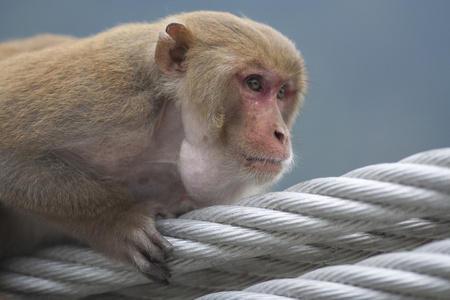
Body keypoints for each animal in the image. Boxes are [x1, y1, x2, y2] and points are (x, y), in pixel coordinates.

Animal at [0, 11, 308, 284]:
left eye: (281, 93)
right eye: (254, 84)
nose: (281, 134)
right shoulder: (107, 97)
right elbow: (9, 152)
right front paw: (116, 219)